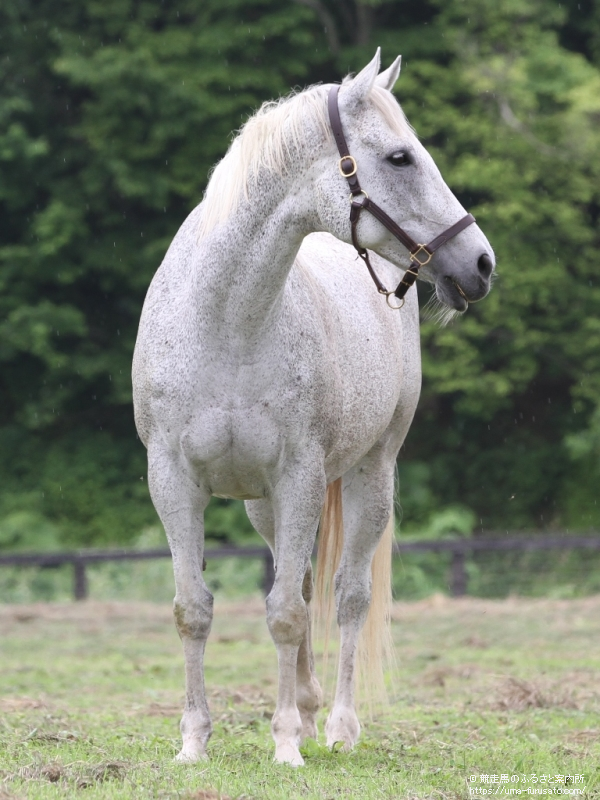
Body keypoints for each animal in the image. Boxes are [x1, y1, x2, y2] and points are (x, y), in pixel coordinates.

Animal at [132, 51, 492, 768]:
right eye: (400, 157)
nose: (481, 262)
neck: (227, 324)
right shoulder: (175, 481)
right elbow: (196, 608)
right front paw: (194, 742)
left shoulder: (299, 476)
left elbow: (288, 615)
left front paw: (285, 748)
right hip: (263, 505)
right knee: (296, 584)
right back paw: (303, 707)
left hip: (371, 474)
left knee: (347, 597)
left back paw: (339, 726)